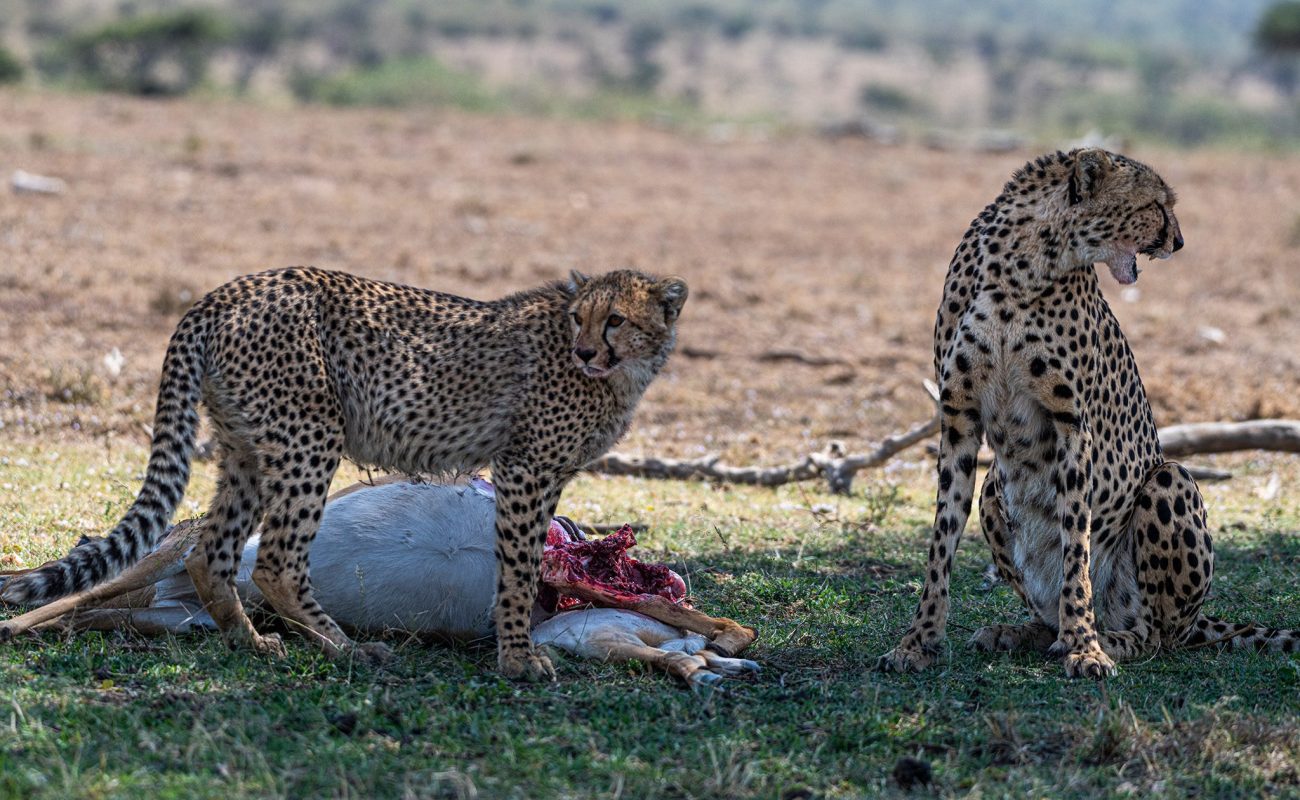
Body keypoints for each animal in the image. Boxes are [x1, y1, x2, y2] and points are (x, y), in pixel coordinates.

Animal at [2, 266, 688, 681]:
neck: (618, 374)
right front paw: (518, 659)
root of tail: (226, 291)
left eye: (615, 319)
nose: (585, 349)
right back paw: (347, 648)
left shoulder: (542, 475)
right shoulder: (524, 469)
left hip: (246, 449)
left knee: (210, 552)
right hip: (310, 437)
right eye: (580, 318)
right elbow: (517, 572)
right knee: (276, 560)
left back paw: (248, 641)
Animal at [877, 148, 1299, 679]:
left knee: (1157, 635)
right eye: (1156, 205)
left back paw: (1107, 638)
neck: (1025, 264)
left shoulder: (1072, 424)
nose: (1180, 242)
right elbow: (941, 539)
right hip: (995, 485)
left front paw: (1085, 647)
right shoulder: (958, 418)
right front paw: (918, 642)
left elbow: (1075, 544)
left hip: (1169, 481)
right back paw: (1021, 633)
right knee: (1049, 610)